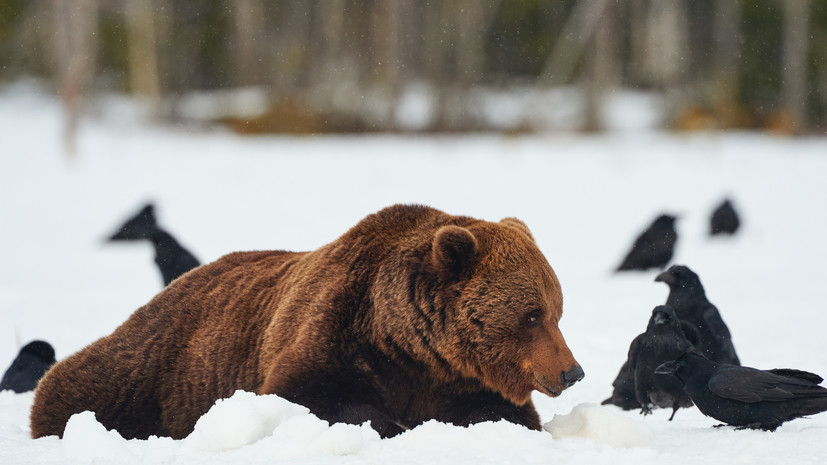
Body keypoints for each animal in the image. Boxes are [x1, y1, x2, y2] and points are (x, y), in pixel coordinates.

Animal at [30, 204, 584, 438]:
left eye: (557, 311)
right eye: (532, 314)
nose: (572, 371)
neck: (410, 345)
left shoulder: (458, 377)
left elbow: (505, 414)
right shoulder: (333, 334)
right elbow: (306, 396)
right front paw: (390, 423)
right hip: (160, 361)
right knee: (80, 384)